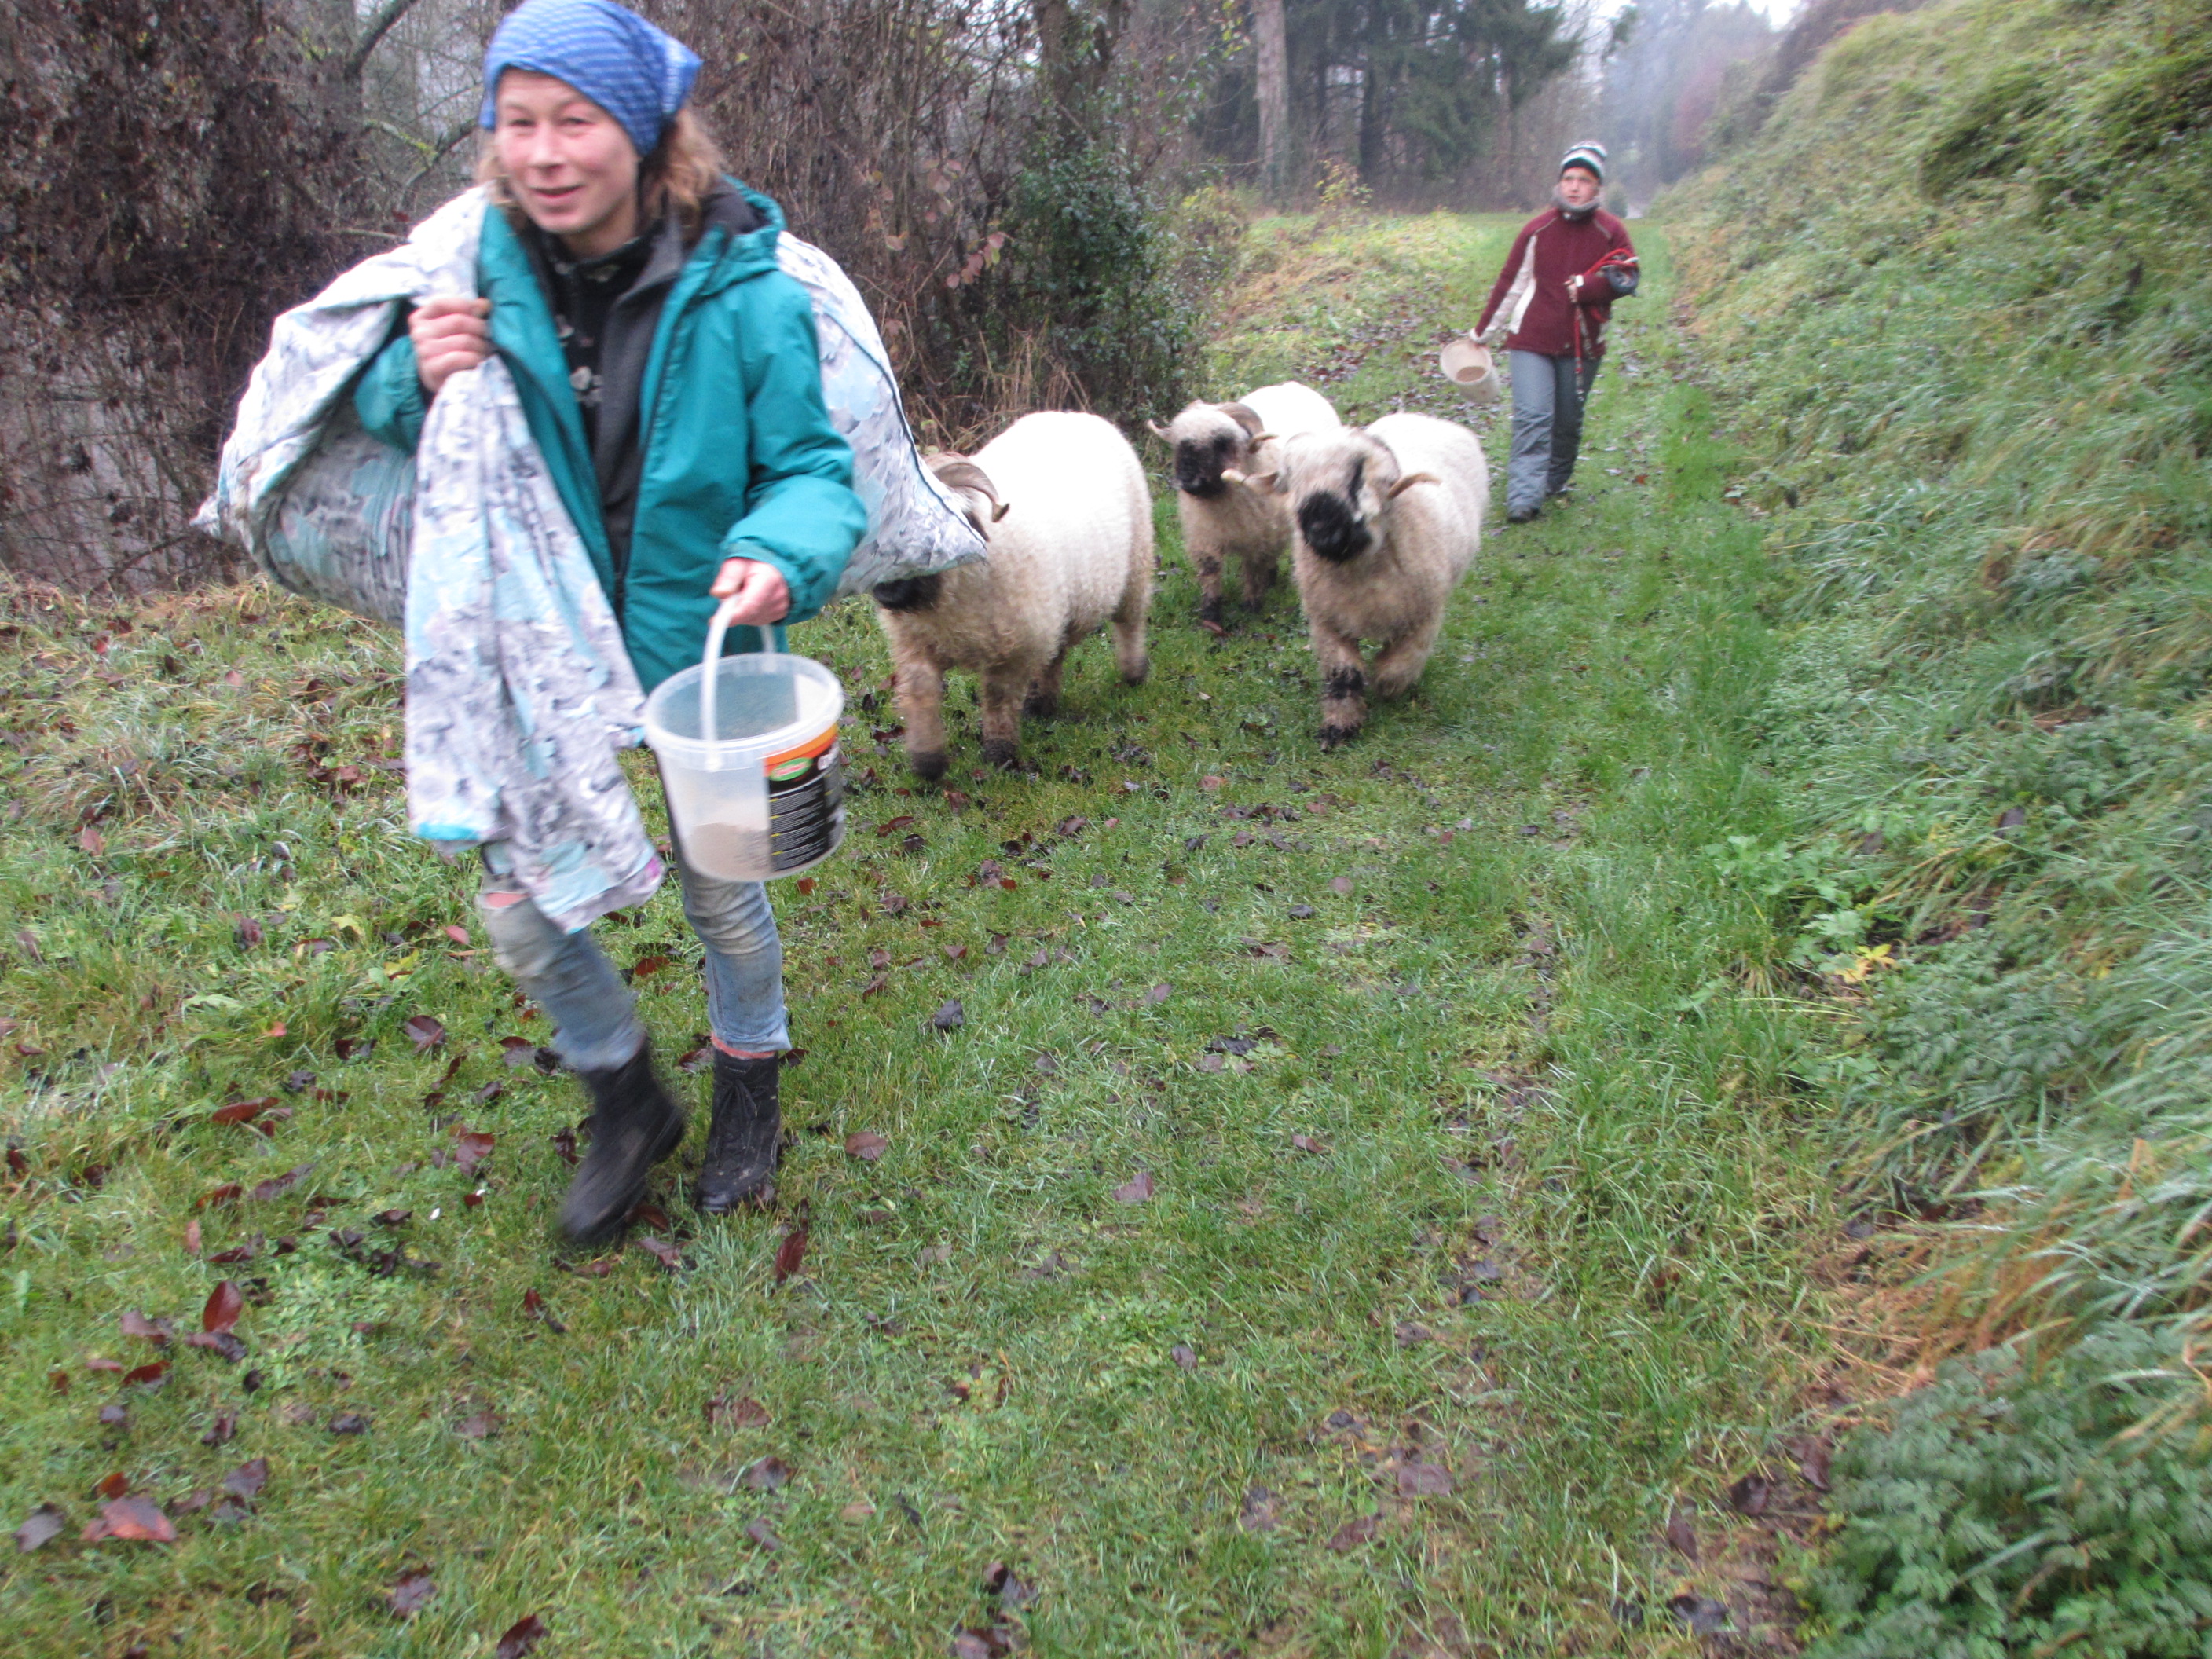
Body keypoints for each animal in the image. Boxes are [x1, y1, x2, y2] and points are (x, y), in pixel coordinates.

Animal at [866, 413, 1159, 782]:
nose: (885, 591)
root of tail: (1074, 414)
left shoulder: (1013, 649)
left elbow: (998, 697)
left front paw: (999, 754)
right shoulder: (915, 643)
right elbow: (920, 690)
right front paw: (927, 762)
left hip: (1136, 564)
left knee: (1130, 622)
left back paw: (1133, 674)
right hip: (1056, 610)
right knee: (1056, 654)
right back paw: (1041, 705)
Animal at [1150, 383, 1335, 637]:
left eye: (1222, 442)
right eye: (1179, 444)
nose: (1190, 482)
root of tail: (1291, 385)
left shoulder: (1259, 539)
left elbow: (1253, 571)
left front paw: (1251, 607)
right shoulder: (1205, 537)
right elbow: (1211, 572)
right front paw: (1211, 617)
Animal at [1256, 416, 1495, 752]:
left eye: (1358, 475)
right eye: (1292, 482)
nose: (1322, 531)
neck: (1359, 568)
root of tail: (1425, 417)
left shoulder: (1423, 617)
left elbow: (1397, 666)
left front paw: (1386, 688)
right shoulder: (1329, 622)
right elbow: (1343, 678)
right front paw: (1339, 727)